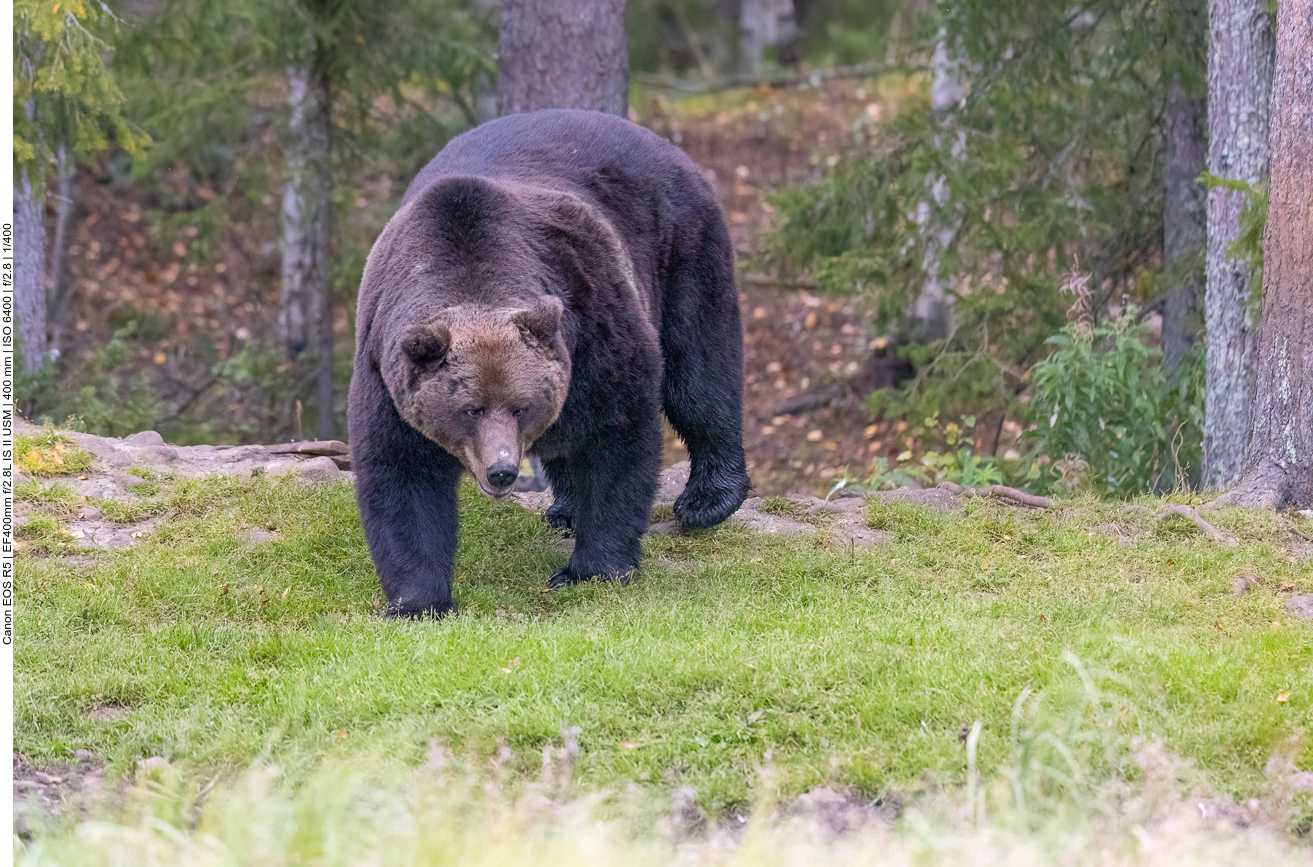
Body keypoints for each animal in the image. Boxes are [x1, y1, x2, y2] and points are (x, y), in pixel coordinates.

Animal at [348, 109, 752, 618]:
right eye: (470, 409)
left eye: (520, 406)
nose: (501, 471)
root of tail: (663, 142)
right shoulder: (385, 372)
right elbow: (402, 478)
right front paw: (418, 602)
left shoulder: (593, 324)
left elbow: (616, 437)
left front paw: (592, 570)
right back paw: (564, 510)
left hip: (681, 246)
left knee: (699, 369)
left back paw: (707, 499)